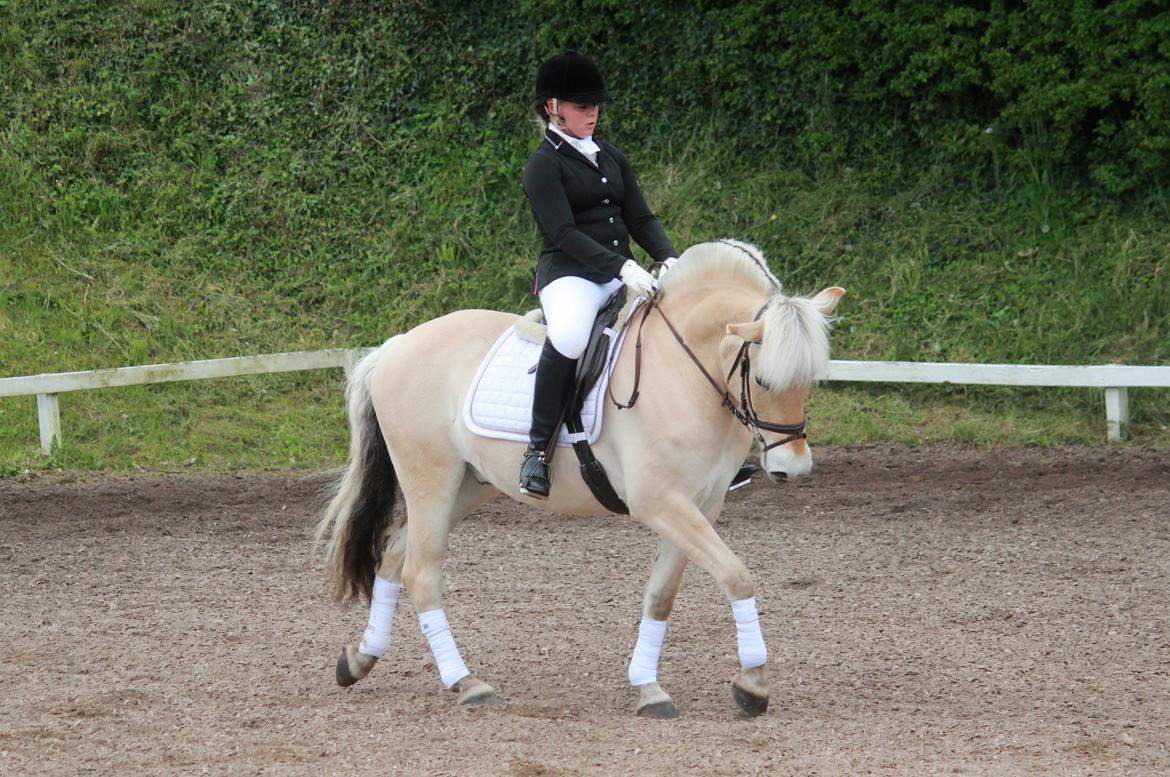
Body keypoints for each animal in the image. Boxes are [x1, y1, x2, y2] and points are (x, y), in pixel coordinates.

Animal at [318, 239, 842, 720]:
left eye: (810, 380)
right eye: (765, 381)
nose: (793, 468)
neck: (686, 372)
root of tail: (395, 346)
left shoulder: (701, 505)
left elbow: (662, 595)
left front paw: (649, 688)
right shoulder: (660, 503)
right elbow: (737, 576)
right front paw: (753, 684)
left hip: (467, 486)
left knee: (393, 556)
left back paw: (360, 659)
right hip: (431, 478)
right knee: (421, 572)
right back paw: (466, 683)